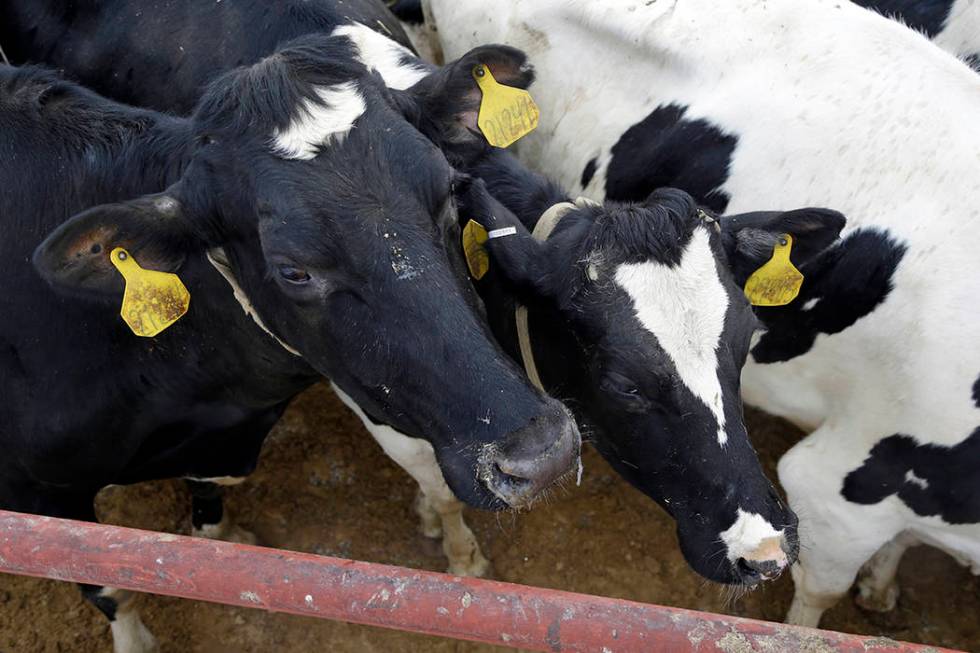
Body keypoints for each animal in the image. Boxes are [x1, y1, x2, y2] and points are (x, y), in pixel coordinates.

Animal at [1, 31, 580, 652]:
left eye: (451, 192)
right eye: (292, 270)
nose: (541, 453)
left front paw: (221, 534)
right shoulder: (38, 497)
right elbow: (100, 577)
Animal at [422, 0, 980, 628]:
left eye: (745, 344)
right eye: (624, 383)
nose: (762, 549)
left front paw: (882, 584)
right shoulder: (839, 489)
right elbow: (815, 602)